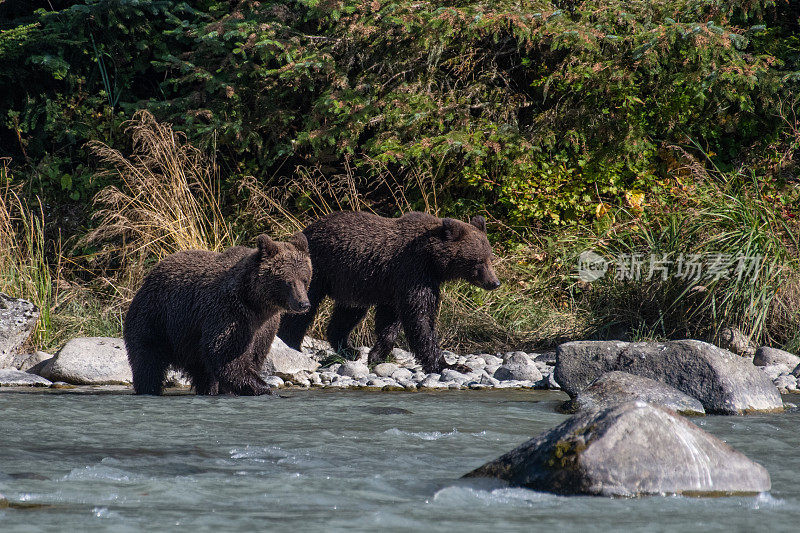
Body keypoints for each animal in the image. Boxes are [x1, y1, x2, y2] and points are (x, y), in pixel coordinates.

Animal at [123, 234, 310, 394]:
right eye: (288, 281)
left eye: (305, 279)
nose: (304, 304)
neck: (255, 302)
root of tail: (147, 279)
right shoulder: (229, 312)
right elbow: (225, 355)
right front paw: (263, 388)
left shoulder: (266, 326)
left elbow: (254, 356)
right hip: (155, 319)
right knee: (147, 362)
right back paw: (149, 389)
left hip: (189, 339)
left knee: (203, 372)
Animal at [276, 210, 500, 372]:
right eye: (478, 261)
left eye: (490, 257)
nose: (494, 282)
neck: (432, 260)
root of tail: (305, 231)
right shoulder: (412, 272)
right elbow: (420, 318)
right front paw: (450, 364)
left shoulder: (395, 286)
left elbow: (391, 321)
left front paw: (376, 355)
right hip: (318, 272)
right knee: (304, 308)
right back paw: (292, 344)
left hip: (353, 283)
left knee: (348, 313)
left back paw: (350, 350)